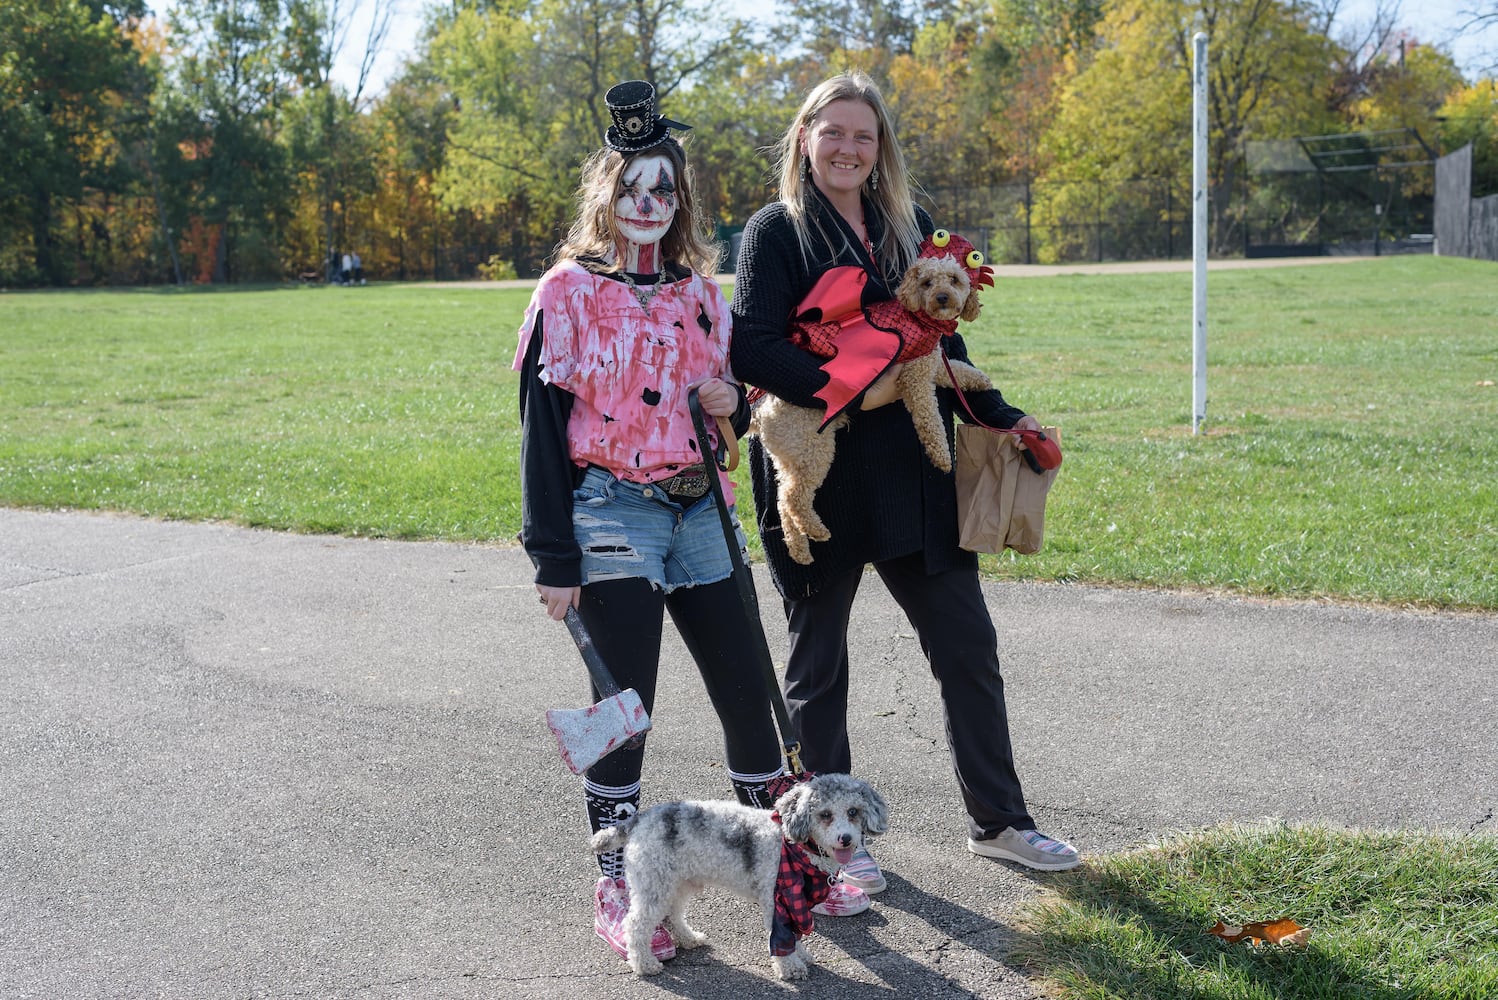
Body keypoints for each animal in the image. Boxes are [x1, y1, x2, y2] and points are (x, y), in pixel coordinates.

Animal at [587, 772, 886, 976]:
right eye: (825, 814)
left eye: (853, 811)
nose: (846, 838)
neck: (793, 847)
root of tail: (638, 819)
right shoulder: (777, 900)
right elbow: (783, 938)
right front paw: (790, 967)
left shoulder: (795, 903)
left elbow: (796, 934)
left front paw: (801, 955)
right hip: (653, 884)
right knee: (636, 924)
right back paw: (645, 963)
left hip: (677, 881)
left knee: (673, 914)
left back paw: (688, 939)